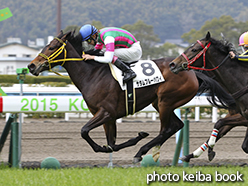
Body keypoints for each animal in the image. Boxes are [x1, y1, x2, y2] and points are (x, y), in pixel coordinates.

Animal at [28, 30, 235, 163]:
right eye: (46, 45)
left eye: (52, 47)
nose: (31, 66)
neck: (92, 74)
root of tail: (191, 71)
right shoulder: (107, 117)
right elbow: (111, 144)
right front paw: (118, 144)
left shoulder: (106, 112)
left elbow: (84, 131)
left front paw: (137, 138)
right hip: (160, 103)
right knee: (176, 126)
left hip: (165, 101)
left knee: (167, 129)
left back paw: (143, 152)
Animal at [170, 32, 248, 163]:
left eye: (194, 49)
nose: (172, 64)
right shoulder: (238, 115)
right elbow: (219, 127)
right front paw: (192, 155)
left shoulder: (244, 118)